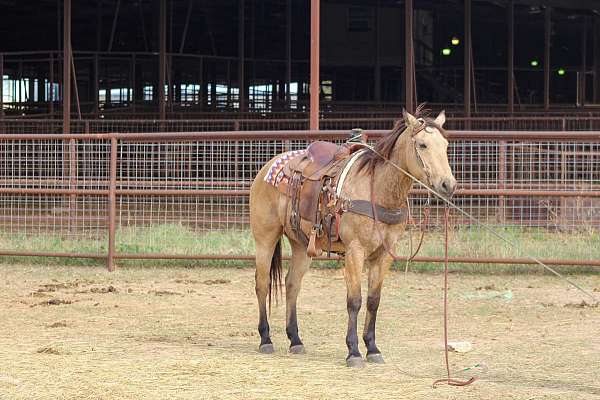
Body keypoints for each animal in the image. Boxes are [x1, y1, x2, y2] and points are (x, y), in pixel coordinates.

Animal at [248, 105, 454, 366]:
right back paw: (266, 339)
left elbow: (374, 300)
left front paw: (373, 348)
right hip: (265, 238)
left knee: (292, 283)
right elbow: (354, 300)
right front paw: (354, 351)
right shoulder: (355, 251)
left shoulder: (385, 254)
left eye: (445, 145)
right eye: (423, 145)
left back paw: (295, 340)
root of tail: (268, 166)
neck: (377, 189)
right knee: (262, 284)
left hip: (301, 245)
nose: (448, 185)